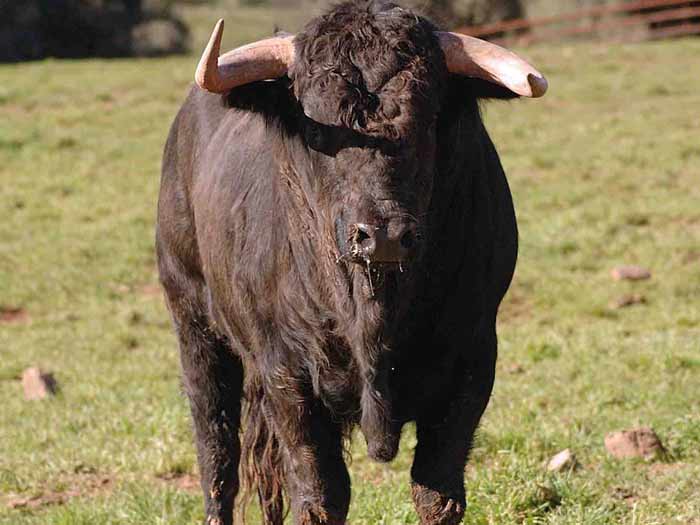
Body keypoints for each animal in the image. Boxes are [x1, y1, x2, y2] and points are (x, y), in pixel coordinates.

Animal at [154, 2, 540, 520]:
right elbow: (320, 494)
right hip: (194, 325)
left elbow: (437, 491)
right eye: (317, 126)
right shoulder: (286, 375)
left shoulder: (473, 359)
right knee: (216, 448)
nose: (382, 237)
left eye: (428, 120)